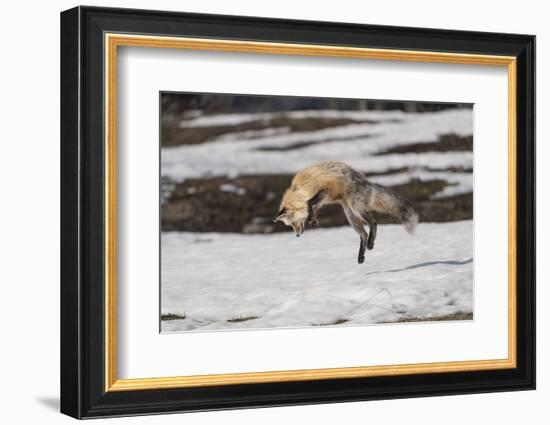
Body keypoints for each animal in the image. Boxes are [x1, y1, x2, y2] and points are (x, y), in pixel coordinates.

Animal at [274, 161, 420, 264]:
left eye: (293, 223)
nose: (297, 235)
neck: (300, 191)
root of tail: (368, 183)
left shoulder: (324, 190)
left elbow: (310, 203)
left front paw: (311, 217)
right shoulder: (321, 200)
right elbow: (312, 208)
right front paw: (312, 219)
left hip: (356, 208)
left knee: (373, 223)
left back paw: (370, 243)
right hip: (350, 215)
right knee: (363, 234)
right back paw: (361, 255)